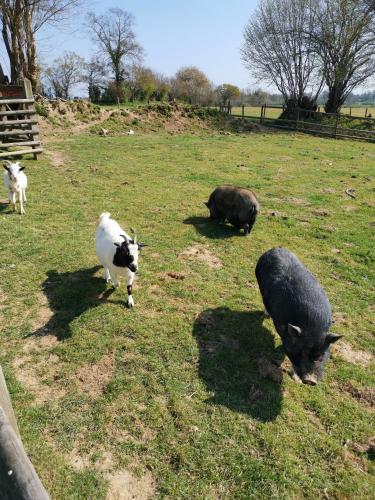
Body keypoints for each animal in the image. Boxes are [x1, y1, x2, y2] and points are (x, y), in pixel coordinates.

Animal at [258, 248, 342, 384]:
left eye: (320, 354)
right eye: (300, 352)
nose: (310, 380)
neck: (312, 326)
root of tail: (275, 249)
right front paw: (296, 379)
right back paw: (266, 314)